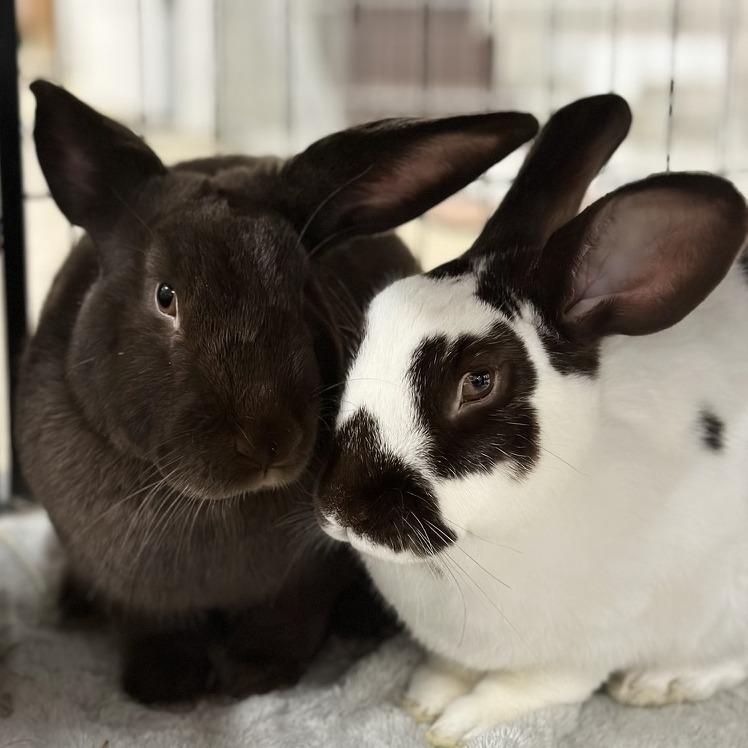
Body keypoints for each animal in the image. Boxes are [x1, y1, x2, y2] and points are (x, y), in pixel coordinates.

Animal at [15, 79, 540, 704]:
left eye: (300, 292)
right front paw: (165, 689)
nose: (270, 441)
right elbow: (156, 626)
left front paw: (253, 677)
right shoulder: (132, 589)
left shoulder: (309, 578)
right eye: (166, 296)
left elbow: (285, 621)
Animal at [315, 92, 748, 746]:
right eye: (364, 335)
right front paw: (425, 699)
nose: (343, 510)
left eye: (478, 382)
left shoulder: (579, 656)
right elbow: (449, 670)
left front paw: (458, 722)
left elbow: (525, 690)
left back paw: (660, 681)